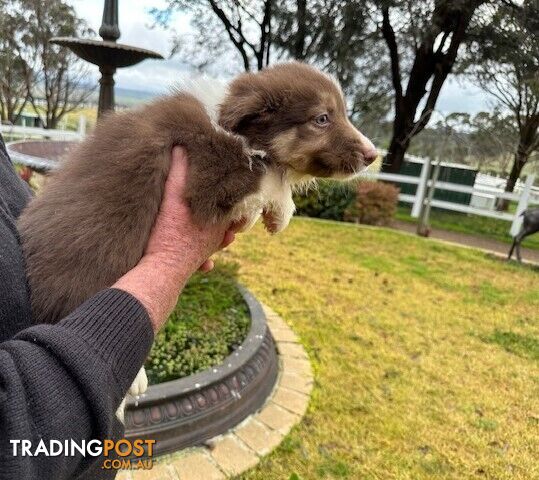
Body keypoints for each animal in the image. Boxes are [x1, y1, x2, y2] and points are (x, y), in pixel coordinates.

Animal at [19, 62, 378, 408]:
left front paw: (271, 214)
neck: (233, 127)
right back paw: (136, 380)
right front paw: (280, 209)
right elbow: (268, 177)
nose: (374, 155)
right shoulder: (209, 176)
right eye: (322, 118)